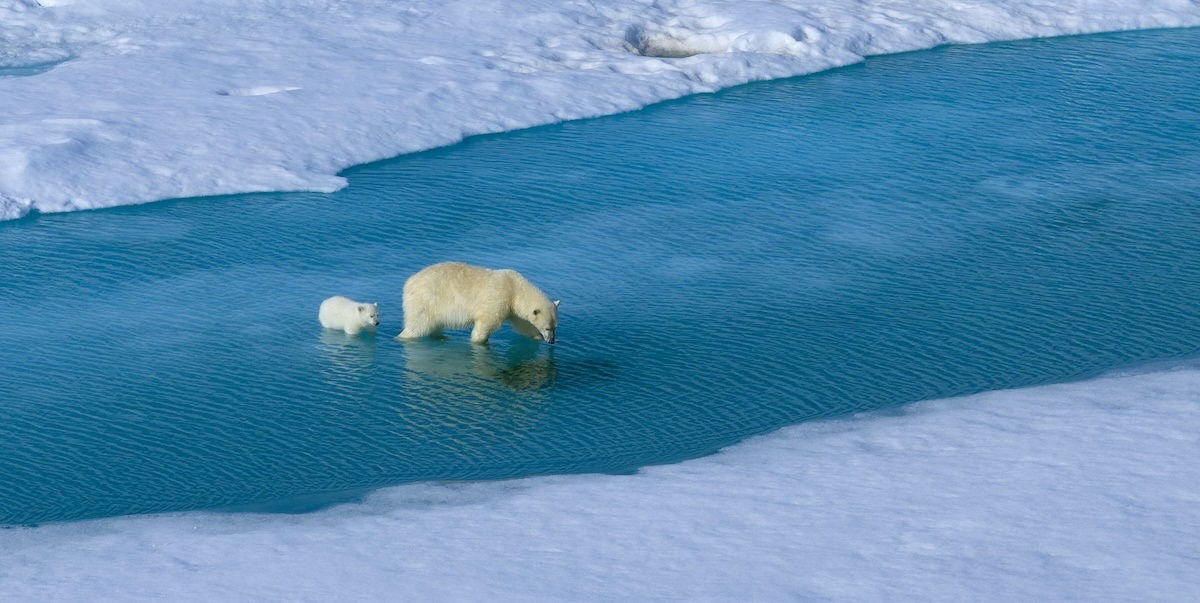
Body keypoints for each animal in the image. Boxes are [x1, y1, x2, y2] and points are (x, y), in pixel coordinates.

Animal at [396, 263, 559, 343]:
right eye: (547, 328)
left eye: (555, 327)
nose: (552, 341)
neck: (514, 287)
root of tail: (408, 283)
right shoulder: (498, 297)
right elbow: (486, 323)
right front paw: (479, 341)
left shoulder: (512, 308)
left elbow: (523, 324)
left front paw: (536, 337)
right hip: (427, 301)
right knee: (418, 326)